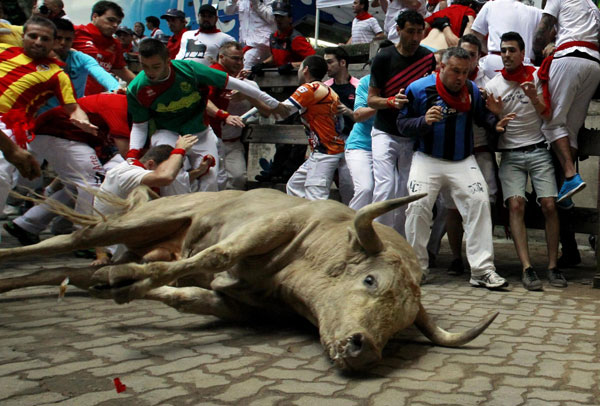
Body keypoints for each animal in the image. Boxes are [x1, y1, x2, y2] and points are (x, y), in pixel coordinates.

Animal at [0, 189, 496, 370]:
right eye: (370, 281)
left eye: (399, 328)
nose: (364, 348)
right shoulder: (272, 227)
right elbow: (220, 253)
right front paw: (128, 279)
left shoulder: (236, 305)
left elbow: (182, 295)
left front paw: (129, 286)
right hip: (141, 220)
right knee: (64, 243)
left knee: (66, 270)